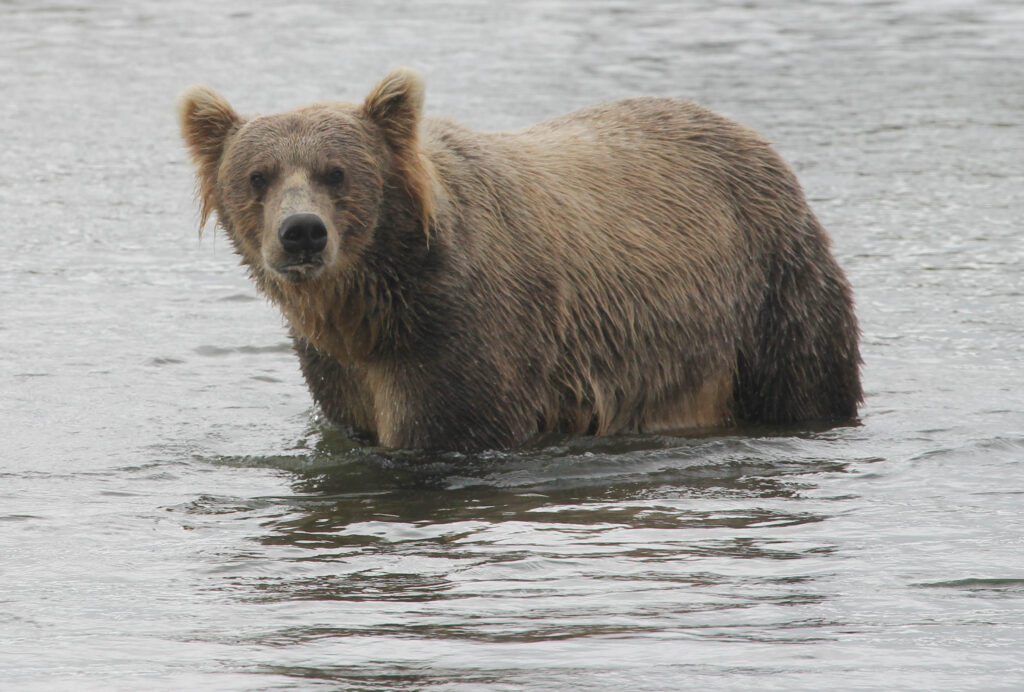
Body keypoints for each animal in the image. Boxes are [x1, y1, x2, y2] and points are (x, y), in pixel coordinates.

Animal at [177, 68, 862, 452]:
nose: (302, 233)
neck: (371, 306)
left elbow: (449, 430)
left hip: (770, 291)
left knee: (804, 382)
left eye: (336, 172)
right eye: (257, 176)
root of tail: (748, 134)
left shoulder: (464, 335)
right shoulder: (344, 370)